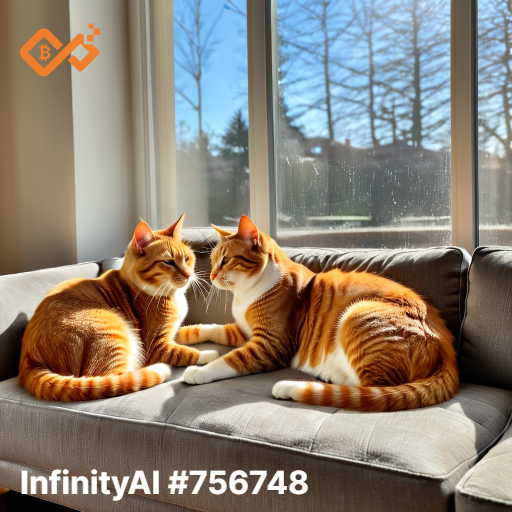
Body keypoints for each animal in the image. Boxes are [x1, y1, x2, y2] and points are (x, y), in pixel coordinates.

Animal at [19, 214, 219, 401]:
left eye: (187, 258)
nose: (188, 274)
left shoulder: (173, 332)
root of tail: (28, 359)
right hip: (113, 330)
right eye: (168, 262)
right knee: (117, 379)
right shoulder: (156, 346)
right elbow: (185, 352)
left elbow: (195, 330)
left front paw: (216, 329)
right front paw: (211, 355)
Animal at [177, 215, 459, 412]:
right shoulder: (243, 331)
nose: (211, 275)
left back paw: (294, 386)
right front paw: (181, 334)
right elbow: (214, 329)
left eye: (225, 260)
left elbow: (230, 359)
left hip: (358, 314)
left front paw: (199, 371)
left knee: (372, 390)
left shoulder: (269, 345)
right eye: (213, 261)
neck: (246, 294)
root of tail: (446, 348)